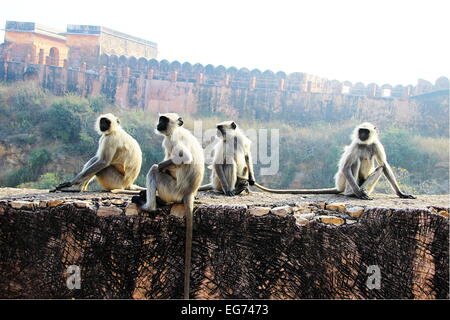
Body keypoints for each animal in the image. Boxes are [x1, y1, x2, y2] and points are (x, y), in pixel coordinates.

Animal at [132, 113, 206, 300]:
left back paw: (149, 206)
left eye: (164, 120)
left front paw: (162, 164)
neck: (176, 130)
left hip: (172, 189)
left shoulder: (172, 139)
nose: (158, 124)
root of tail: (189, 193)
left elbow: (185, 158)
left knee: (155, 170)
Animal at [255, 122, 416, 200]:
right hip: (345, 182)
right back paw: (353, 193)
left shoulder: (376, 145)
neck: (364, 144)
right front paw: (359, 193)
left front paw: (401, 193)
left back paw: (362, 191)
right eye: (361, 131)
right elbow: (345, 167)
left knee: (380, 168)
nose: (363, 134)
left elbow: (385, 165)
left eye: (366, 131)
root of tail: (339, 187)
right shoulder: (355, 145)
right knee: (354, 163)